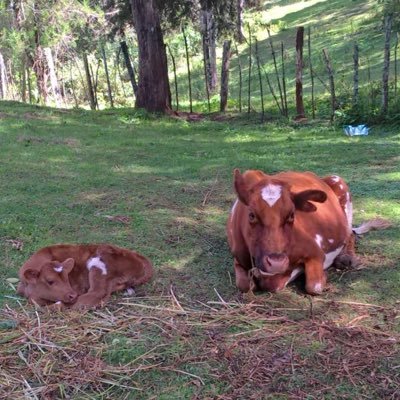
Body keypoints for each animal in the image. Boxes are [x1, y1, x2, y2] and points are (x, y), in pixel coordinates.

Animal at [16, 244, 153, 310]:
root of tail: (138, 256)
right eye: (50, 281)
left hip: (99, 263)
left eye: (67, 278)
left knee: (96, 293)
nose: (72, 295)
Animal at [228, 170, 390, 296]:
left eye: (292, 215)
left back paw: (346, 258)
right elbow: (244, 285)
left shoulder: (315, 252)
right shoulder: (238, 257)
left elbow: (313, 286)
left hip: (340, 188)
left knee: (349, 234)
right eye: (251, 215)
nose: (276, 262)